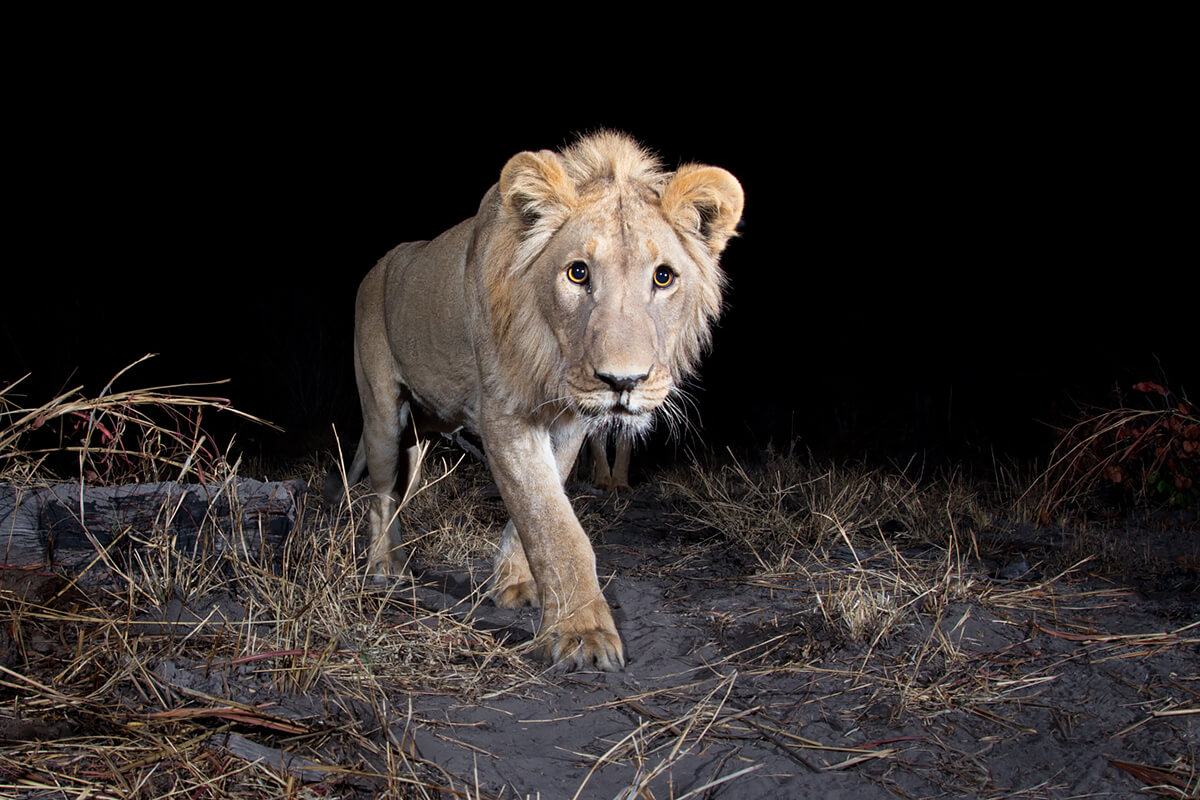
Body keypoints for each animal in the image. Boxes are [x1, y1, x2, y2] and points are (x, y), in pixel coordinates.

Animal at [328, 131, 739, 671]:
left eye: (664, 277)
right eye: (578, 273)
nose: (623, 381)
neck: (551, 357)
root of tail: (380, 266)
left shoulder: (570, 424)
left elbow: (541, 508)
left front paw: (515, 583)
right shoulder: (503, 413)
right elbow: (551, 523)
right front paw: (583, 634)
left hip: (416, 442)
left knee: (399, 491)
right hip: (382, 415)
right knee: (378, 496)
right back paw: (383, 566)